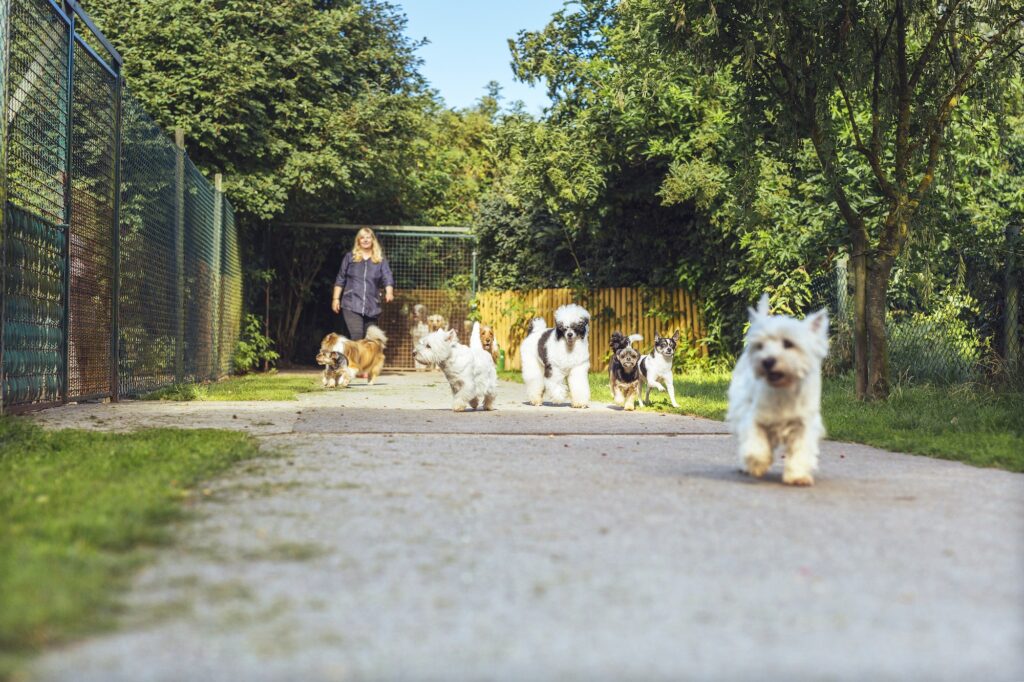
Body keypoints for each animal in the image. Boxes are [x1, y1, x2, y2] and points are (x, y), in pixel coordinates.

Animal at [724, 292, 827, 483]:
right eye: (760, 345)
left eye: (788, 343)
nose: (768, 361)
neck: (783, 389)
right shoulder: (755, 417)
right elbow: (755, 444)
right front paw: (758, 463)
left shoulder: (803, 424)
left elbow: (801, 451)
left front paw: (798, 476)